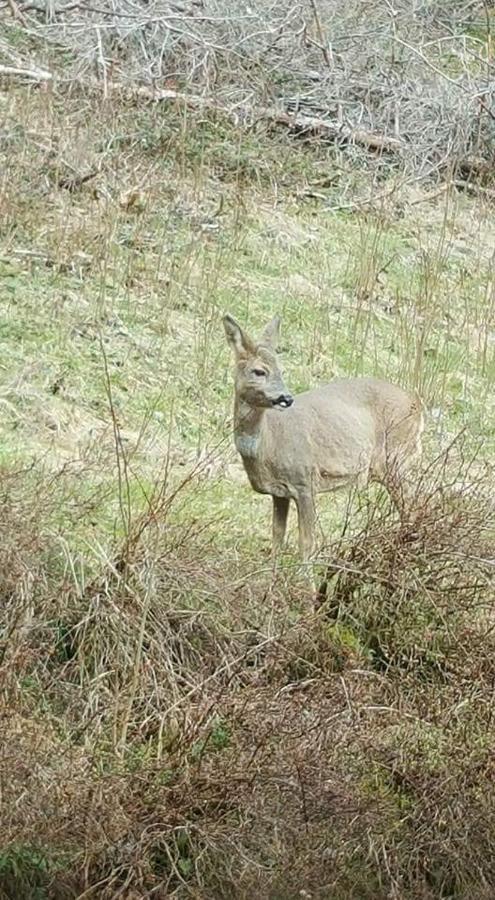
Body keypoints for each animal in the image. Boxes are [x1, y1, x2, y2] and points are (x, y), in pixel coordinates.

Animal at [223, 312, 424, 572]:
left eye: (281, 370)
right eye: (259, 371)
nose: (286, 398)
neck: (269, 442)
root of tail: (417, 404)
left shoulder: (304, 480)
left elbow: (306, 541)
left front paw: (303, 580)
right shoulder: (279, 492)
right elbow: (277, 537)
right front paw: (270, 575)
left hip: (396, 458)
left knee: (413, 506)